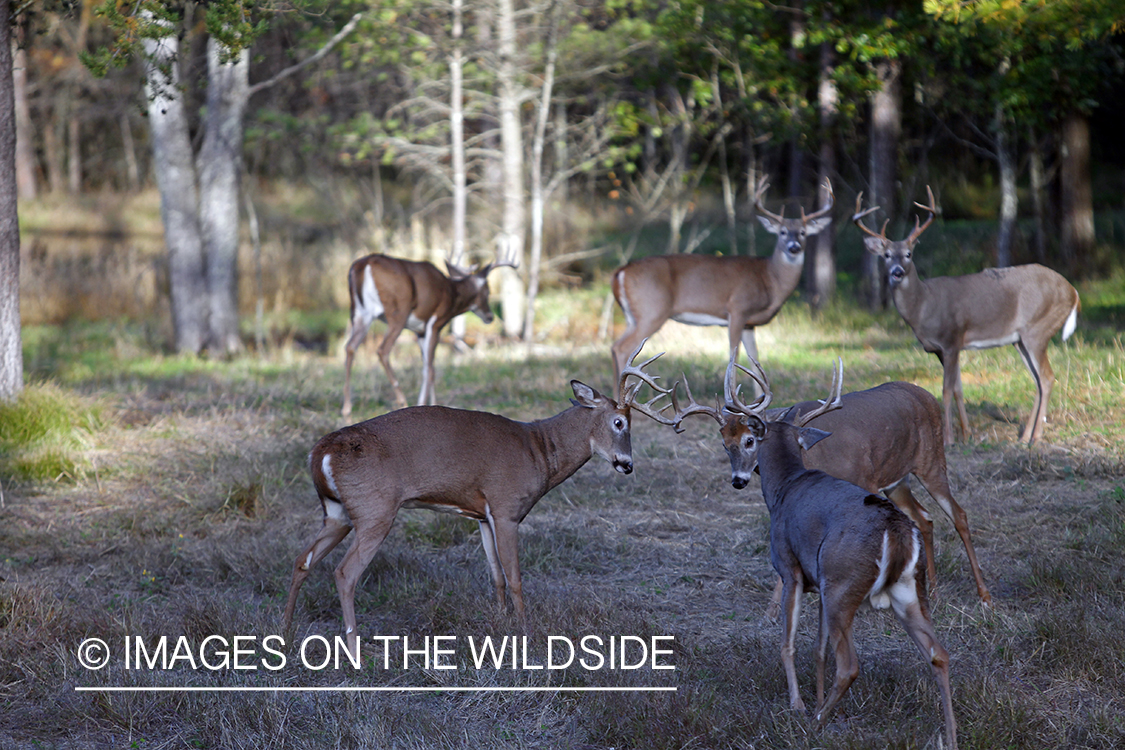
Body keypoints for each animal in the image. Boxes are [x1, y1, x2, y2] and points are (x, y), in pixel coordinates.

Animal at [288, 341, 675, 656]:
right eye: (619, 423)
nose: (627, 464)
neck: (539, 450)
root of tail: (321, 452)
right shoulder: (506, 509)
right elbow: (516, 577)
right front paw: (525, 631)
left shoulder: (482, 515)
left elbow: (497, 575)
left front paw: (501, 623)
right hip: (375, 510)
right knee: (344, 572)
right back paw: (354, 651)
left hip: (337, 512)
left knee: (303, 560)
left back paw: (285, 629)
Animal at [342, 251, 517, 416]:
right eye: (488, 291)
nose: (490, 316)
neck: (452, 294)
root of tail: (363, 264)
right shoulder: (436, 322)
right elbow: (431, 369)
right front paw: (428, 404)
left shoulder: (420, 331)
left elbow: (427, 366)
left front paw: (427, 404)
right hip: (398, 311)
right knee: (382, 350)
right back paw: (402, 401)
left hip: (359, 313)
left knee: (350, 347)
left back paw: (347, 411)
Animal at [607, 178, 837, 398]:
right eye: (782, 232)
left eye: (803, 232)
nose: (793, 247)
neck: (769, 278)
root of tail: (621, 271)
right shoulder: (737, 309)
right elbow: (733, 357)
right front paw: (733, 399)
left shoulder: (749, 324)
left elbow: (755, 359)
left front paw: (760, 400)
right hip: (652, 311)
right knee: (622, 347)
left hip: (633, 316)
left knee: (616, 346)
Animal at [675, 359, 958, 750]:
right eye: (725, 443)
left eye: (750, 440)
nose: (738, 479)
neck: (786, 485)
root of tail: (897, 531)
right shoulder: (819, 583)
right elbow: (818, 650)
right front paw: (820, 699)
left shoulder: (790, 569)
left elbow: (788, 643)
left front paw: (798, 704)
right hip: (903, 590)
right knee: (939, 654)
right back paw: (950, 735)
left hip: (844, 583)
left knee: (850, 665)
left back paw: (815, 722)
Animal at [850, 187, 1080, 445]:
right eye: (887, 255)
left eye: (908, 254)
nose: (897, 272)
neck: (923, 306)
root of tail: (1073, 291)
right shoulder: (943, 350)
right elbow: (959, 389)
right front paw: (967, 433)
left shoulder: (951, 339)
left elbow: (946, 391)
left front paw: (949, 439)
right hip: (1020, 340)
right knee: (1038, 381)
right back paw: (1024, 437)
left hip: (1037, 330)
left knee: (1047, 378)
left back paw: (1035, 437)